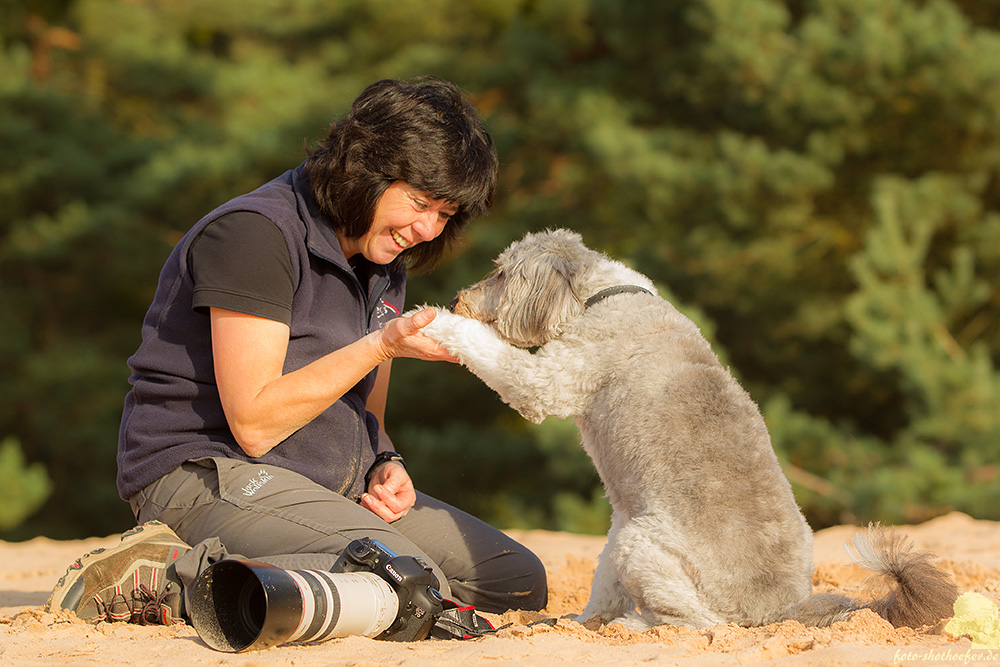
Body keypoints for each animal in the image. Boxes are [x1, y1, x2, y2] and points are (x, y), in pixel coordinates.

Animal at [418, 230, 956, 632]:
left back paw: (637, 625)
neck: (599, 298)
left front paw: (432, 322)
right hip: (627, 527)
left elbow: (493, 353)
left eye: (501, 272)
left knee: (702, 624)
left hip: (643, 543)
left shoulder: (547, 381)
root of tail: (782, 610)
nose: (456, 298)